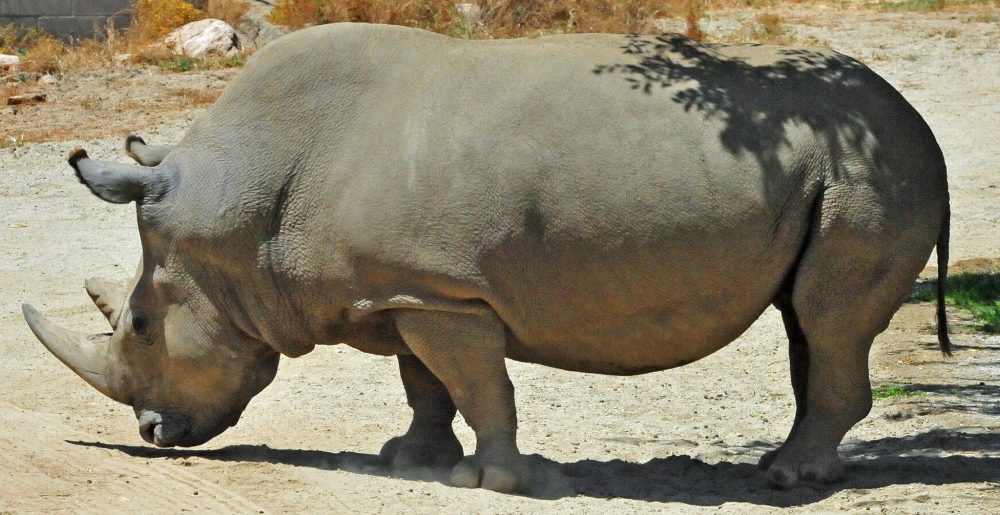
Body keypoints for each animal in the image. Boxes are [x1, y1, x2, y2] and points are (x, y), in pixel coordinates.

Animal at [23, 24, 951, 492]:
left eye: (143, 323)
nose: (153, 433)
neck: (236, 204)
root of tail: (914, 119)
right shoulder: (407, 286)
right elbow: (425, 383)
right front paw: (412, 460)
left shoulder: (441, 292)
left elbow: (478, 383)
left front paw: (496, 479)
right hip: (843, 165)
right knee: (806, 320)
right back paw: (787, 465)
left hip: (871, 170)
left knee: (829, 320)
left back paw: (790, 479)